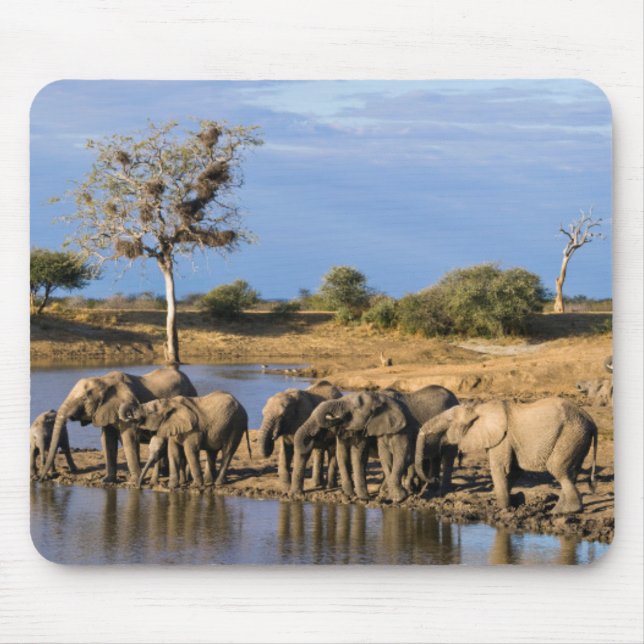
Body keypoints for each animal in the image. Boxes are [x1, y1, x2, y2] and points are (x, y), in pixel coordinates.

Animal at [40, 366, 197, 483]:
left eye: (84, 398)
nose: (42, 479)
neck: (103, 380)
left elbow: (128, 438)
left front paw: (135, 481)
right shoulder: (105, 410)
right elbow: (107, 439)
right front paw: (107, 480)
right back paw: (164, 473)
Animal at [120, 390, 249, 490]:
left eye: (150, 412)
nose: (138, 487)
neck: (170, 403)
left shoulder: (194, 429)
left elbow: (190, 451)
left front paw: (195, 486)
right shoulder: (173, 426)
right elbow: (173, 452)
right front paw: (172, 486)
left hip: (236, 426)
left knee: (228, 451)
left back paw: (217, 483)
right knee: (212, 452)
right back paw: (209, 482)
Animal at [291, 385, 460, 503]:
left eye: (354, 408)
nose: (297, 495)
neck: (379, 398)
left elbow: (361, 456)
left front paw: (368, 498)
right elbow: (346, 455)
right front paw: (352, 495)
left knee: (448, 456)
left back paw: (440, 492)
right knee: (434, 458)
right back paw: (428, 488)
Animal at [415, 397, 597, 514]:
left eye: (449, 422)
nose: (433, 480)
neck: (479, 409)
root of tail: (592, 422)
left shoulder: (502, 438)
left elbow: (500, 469)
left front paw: (501, 510)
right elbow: (514, 471)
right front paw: (515, 502)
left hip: (571, 434)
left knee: (558, 469)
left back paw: (564, 512)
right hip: (577, 438)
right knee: (570, 473)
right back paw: (558, 511)